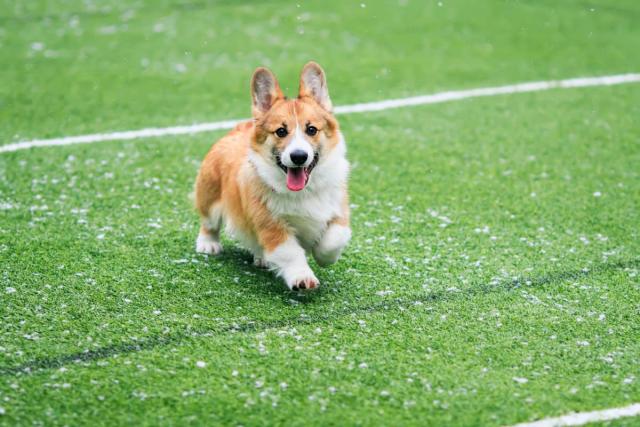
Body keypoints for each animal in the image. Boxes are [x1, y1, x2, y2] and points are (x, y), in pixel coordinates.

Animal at [194, 61, 350, 292]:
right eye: (281, 132)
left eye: (311, 129)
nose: (298, 156)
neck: (303, 192)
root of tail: (238, 128)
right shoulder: (272, 225)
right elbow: (291, 253)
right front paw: (302, 278)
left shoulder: (338, 211)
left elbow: (333, 240)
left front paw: (323, 258)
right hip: (210, 196)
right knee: (209, 222)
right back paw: (208, 244)